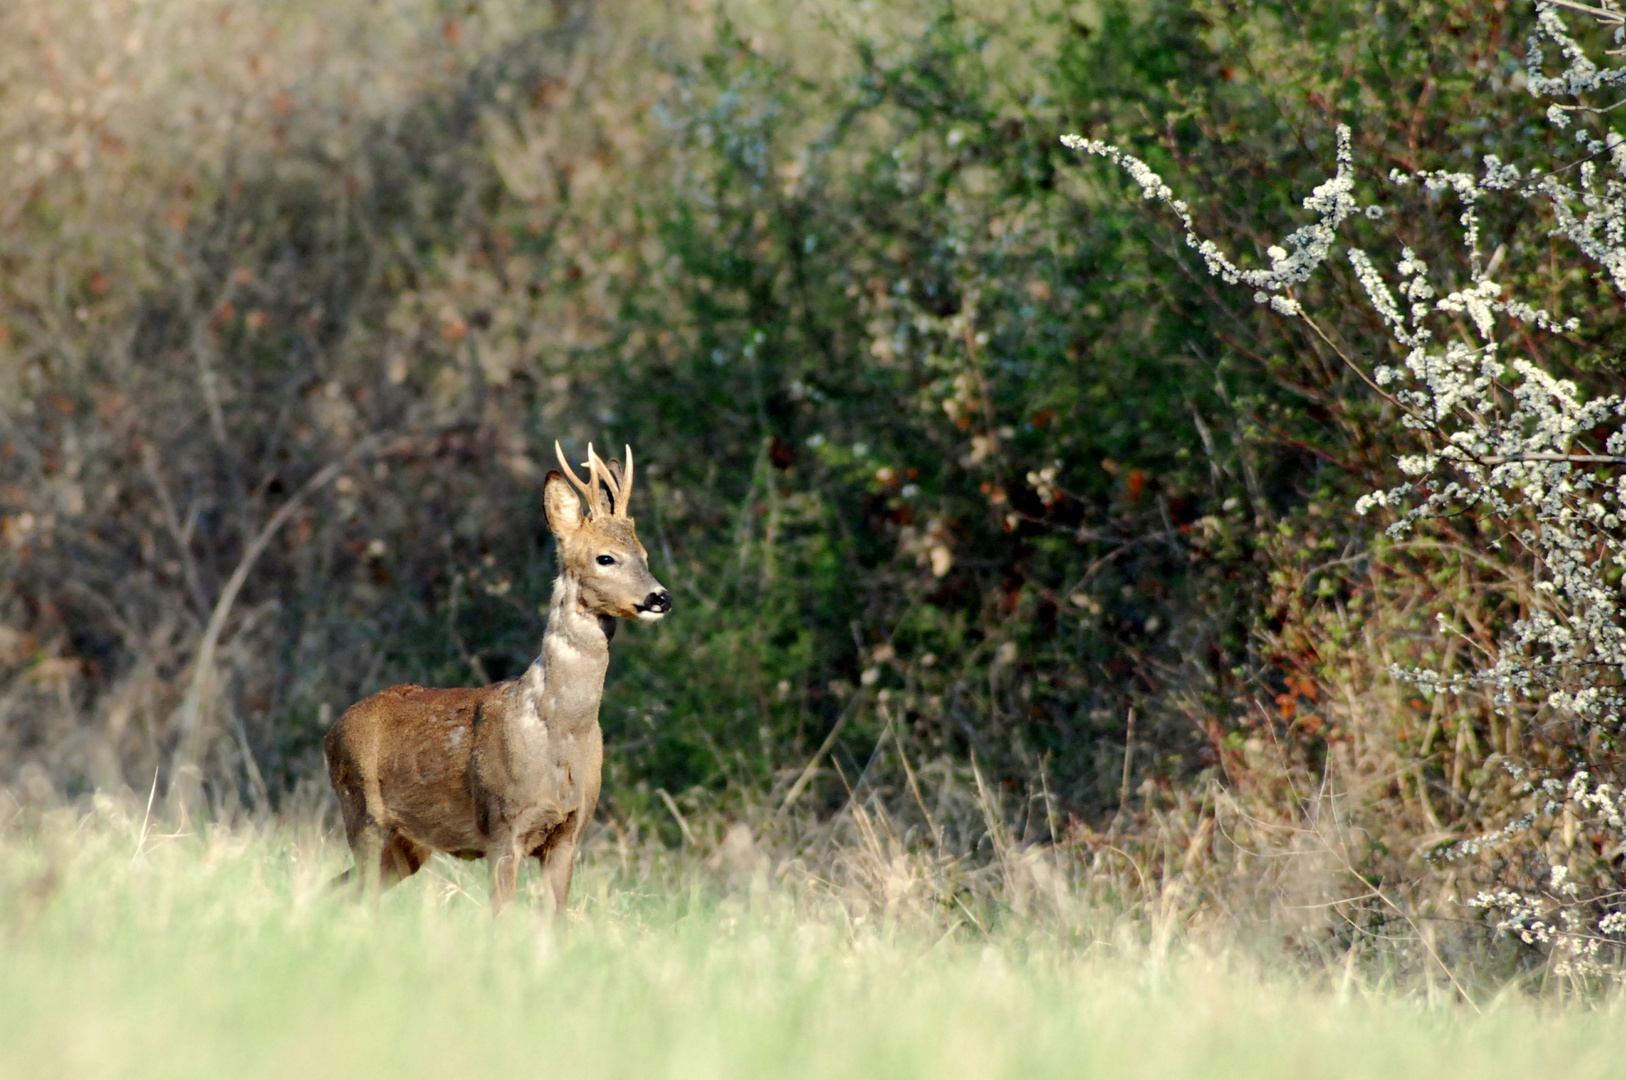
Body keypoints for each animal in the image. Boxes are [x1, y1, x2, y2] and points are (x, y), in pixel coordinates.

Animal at [323, 445, 666, 910]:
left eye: (644, 554)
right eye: (606, 557)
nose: (660, 597)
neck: (561, 730)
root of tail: (331, 732)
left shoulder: (570, 832)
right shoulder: (503, 824)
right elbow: (501, 914)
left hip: (407, 846)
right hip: (363, 814)